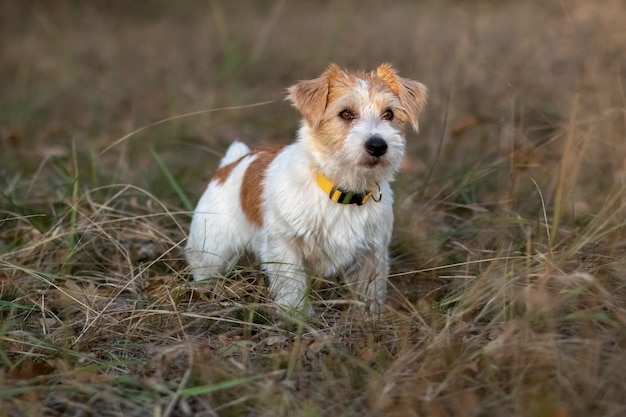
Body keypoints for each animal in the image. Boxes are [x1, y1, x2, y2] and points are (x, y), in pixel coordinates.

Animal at [185, 64, 426, 312]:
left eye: (389, 114)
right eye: (346, 113)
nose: (378, 145)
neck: (342, 190)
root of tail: (230, 165)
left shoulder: (373, 253)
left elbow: (370, 290)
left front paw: (369, 316)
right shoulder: (284, 244)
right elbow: (292, 282)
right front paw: (295, 313)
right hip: (210, 250)